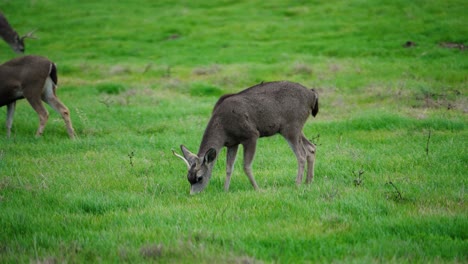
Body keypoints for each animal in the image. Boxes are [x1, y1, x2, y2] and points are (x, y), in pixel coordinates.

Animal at [174, 80, 320, 194]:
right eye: (188, 177)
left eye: (199, 177)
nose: (193, 194)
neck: (223, 127)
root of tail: (312, 95)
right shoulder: (232, 142)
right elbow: (229, 168)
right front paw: (225, 190)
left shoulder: (251, 135)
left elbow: (246, 166)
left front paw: (257, 189)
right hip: (294, 128)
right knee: (311, 148)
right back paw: (308, 182)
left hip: (291, 127)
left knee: (301, 154)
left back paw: (297, 184)